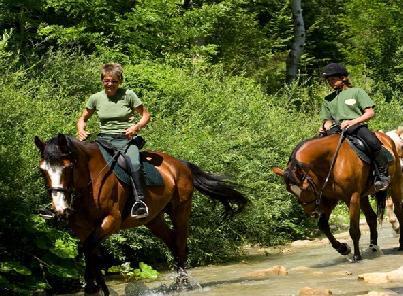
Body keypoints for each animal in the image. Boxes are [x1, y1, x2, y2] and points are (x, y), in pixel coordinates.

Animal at [34, 134, 248, 294]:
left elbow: (89, 249)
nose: (60, 209)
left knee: (180, 245)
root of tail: (180, 164)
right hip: (154, 219)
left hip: (180, 211)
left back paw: (183, 285)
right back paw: (177, 283)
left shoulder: (111, 220)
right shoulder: (82, 228)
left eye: (68, 167)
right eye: (42, 170)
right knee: (172, 243)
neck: (91, 181)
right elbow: (89, 252)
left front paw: (95, 288)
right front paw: (95, 289)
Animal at [272, 131, 403, 262]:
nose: (312, 213)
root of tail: (385, 136)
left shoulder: (352, 197)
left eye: (306, 187)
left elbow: (353, 229)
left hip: (395, 183)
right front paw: (343, 248)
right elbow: (323, 225)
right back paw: (373, 248)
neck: (331, 162)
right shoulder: (330, 199)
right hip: (363, 196)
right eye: (290, 190)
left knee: (398, 210)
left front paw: (356, 256)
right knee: (371, 217)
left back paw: (400, 244)